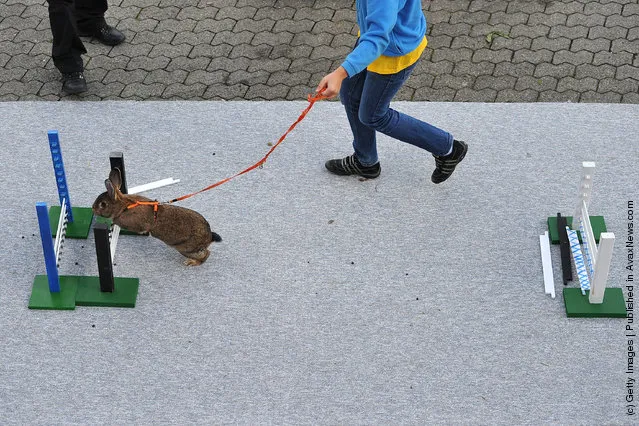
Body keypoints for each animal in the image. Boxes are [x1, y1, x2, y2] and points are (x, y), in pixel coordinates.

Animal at [91, 168, 222, 264]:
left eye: (103, 204)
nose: (93, 208)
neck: (124, 206)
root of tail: (209, 237)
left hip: (186, 249)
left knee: (206, 254)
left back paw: (192, 263)